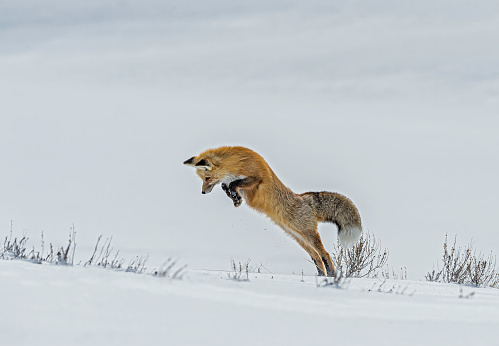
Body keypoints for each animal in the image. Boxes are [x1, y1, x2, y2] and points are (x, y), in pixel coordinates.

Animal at [184, 145, 364, 276]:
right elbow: (227, 186)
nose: (203, 192)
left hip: (307, 235)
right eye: (202, 179)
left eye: (207, 178)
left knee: (325, 254)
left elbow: (236, 183)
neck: (238, 164)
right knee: (317, 258)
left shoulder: (257, 180)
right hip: (298, 238)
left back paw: (332, 277)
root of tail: (304, 198)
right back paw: (322, 277)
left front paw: (234, 194)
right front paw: (235, 198)